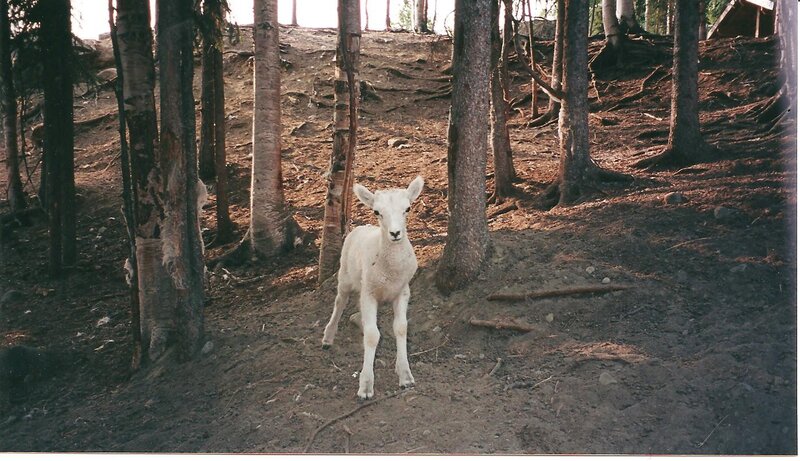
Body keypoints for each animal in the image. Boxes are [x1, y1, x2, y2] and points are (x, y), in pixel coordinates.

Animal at [322, 176, 424, 399]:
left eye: (408, 208)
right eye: (377, 211)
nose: (395, 233)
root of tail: (363, 226)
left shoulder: (403, 291)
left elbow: (401, 328)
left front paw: (405, 375)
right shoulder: (369, 293)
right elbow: (371, 336)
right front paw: (366, 386)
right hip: (345, 275)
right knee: (339, 302)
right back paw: (328, 337)